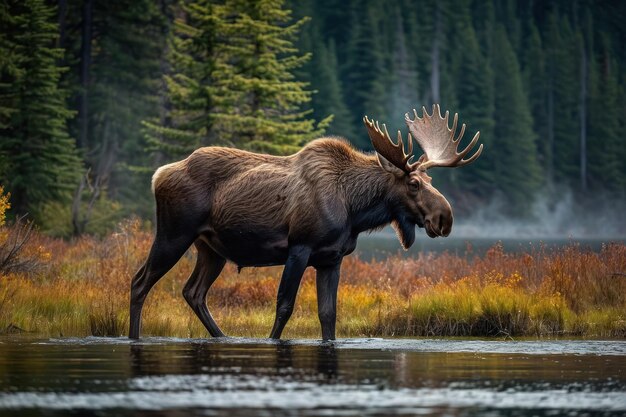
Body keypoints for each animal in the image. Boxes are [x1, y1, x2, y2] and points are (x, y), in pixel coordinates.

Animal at [129, 103, 482, 338]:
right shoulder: (299, 247)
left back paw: (222, 337)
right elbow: (284, 307)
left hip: (211, 248)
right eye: (413, 183)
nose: (445, 218)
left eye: (430, 179)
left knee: (193, 292)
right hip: (174, 234)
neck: (354, 209)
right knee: (140, 282)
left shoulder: (331, 258)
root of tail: (158, 175)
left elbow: (328, 314)